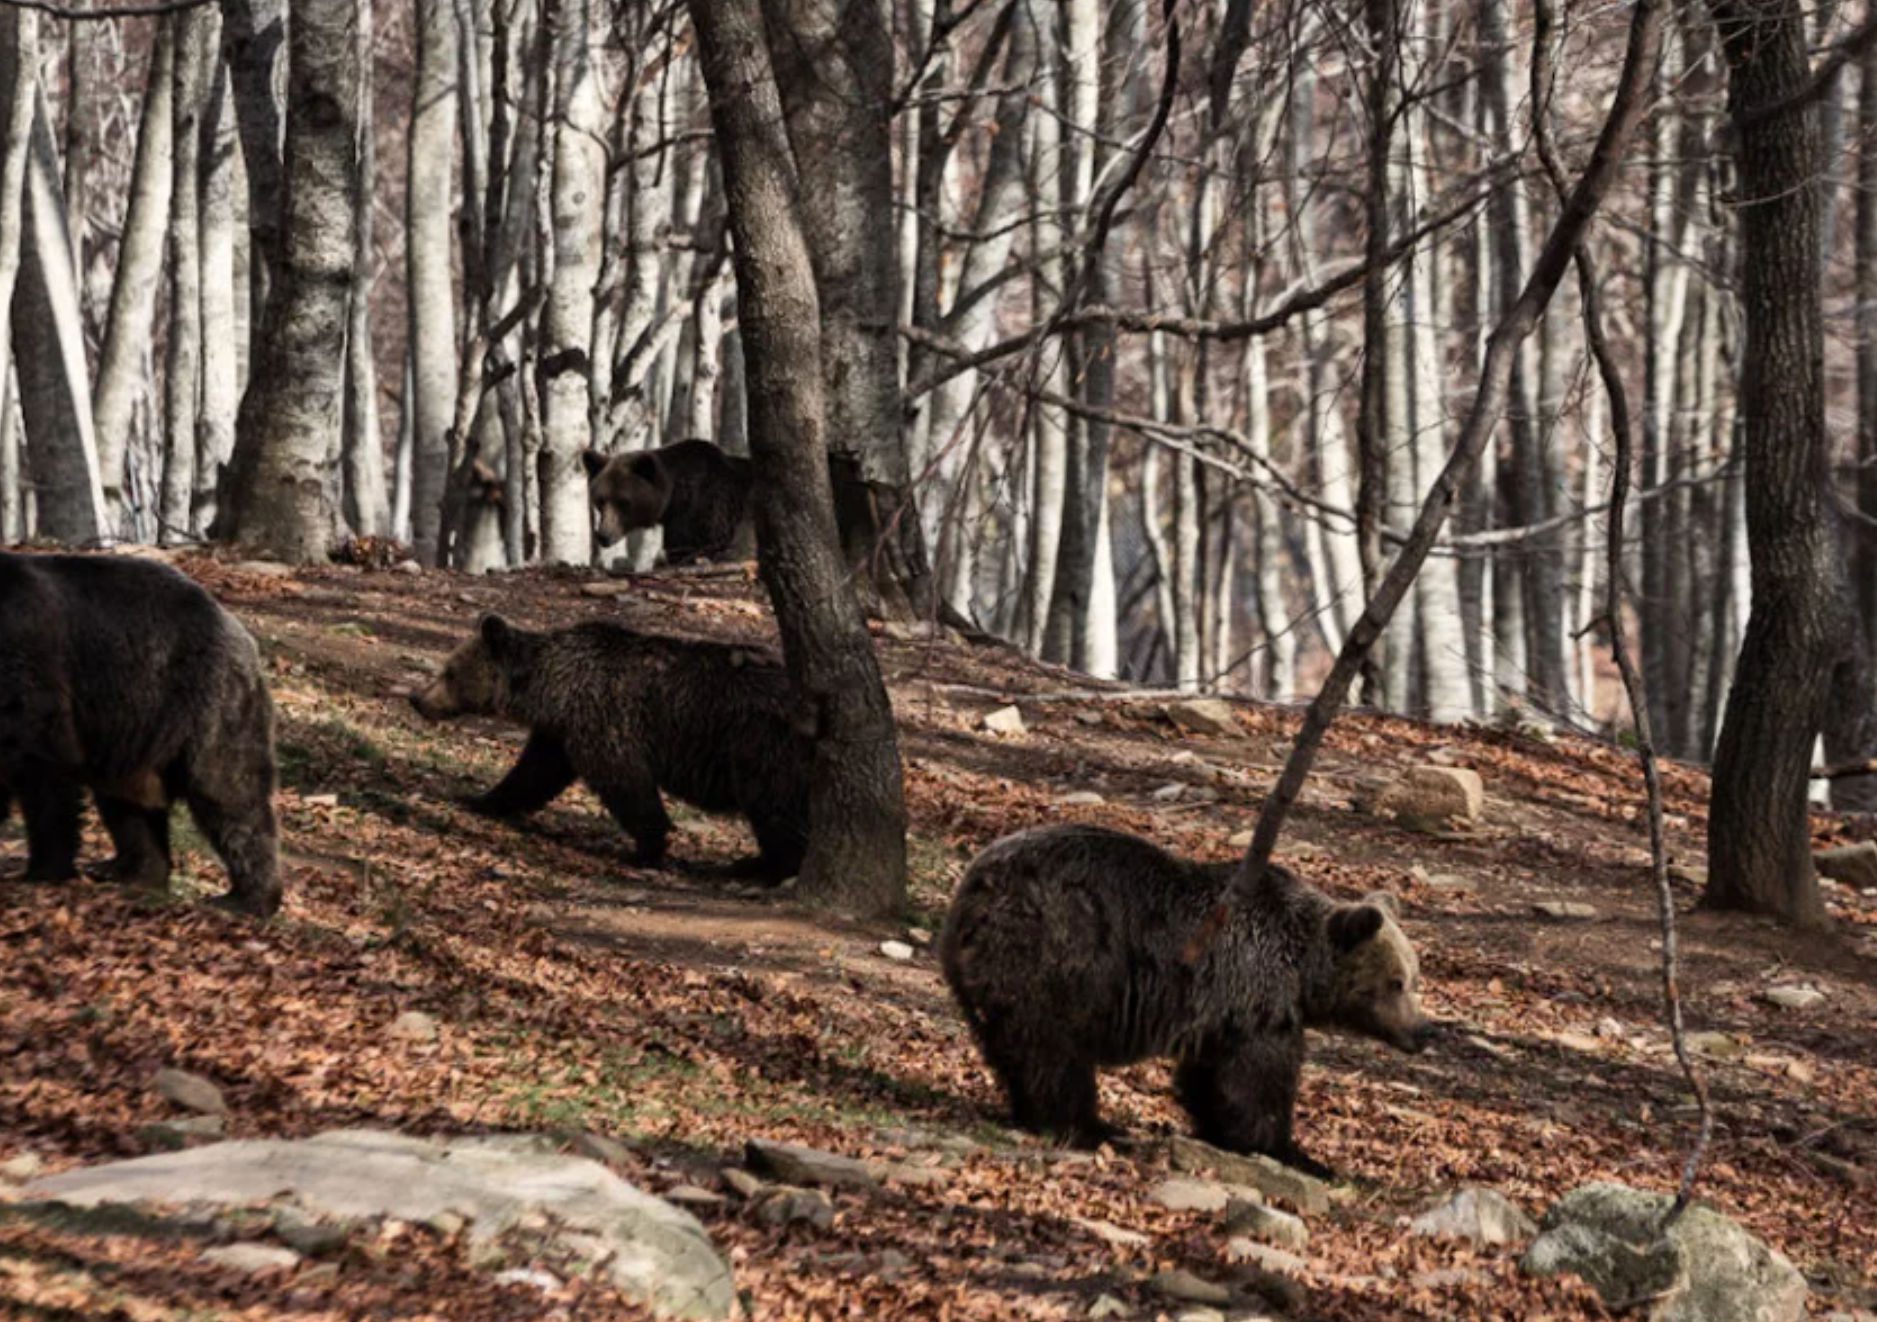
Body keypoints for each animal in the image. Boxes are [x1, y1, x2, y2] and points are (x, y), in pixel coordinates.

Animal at [0, 552, 281, 912]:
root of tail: (240, 632)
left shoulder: (26, 661)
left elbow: (43, 766)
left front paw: (44, 870)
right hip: (132, 729)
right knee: (129, 803)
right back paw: (129, 871)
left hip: (205, 700)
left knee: (228, 792)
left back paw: (247, 899)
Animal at [411, 615, 814, 882]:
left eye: (449, 671)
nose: (416, 698)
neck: (551, 689)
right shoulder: (559, 735)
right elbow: (532, 775)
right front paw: (481, 799)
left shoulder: (603, 720)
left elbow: (626, 782)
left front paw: (649, 847)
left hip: (761, 745)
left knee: (773, 808)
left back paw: (761, 867)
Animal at [938, 826, 1434, 1179]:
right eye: (1396, 982)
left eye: (1414, 977)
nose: (1423, 1032)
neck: (1301, 968)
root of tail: (974, 888)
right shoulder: (1255, 990)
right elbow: (1258, 1079)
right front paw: (1295, 1152)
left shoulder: (1223, 1010)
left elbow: (1210, 1078)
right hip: (1059, 948)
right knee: (1054, 1051)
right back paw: (1090, 1126)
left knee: (1015, 1047)